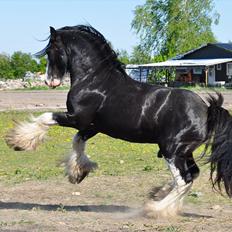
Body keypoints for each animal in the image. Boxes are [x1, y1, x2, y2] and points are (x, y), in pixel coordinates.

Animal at [5, 25, 232, 218]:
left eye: (51, 50)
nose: (49, 81)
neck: (94, 80)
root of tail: (207, 110)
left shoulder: (77, 118)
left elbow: (46, 118)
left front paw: (18, 141)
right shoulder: (92, 126)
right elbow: (77, 141)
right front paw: (78, 172)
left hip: (172, 150)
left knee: (184, 180)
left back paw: (154, 208)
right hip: (184, 152)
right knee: (192, 175)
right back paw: (159, 195)